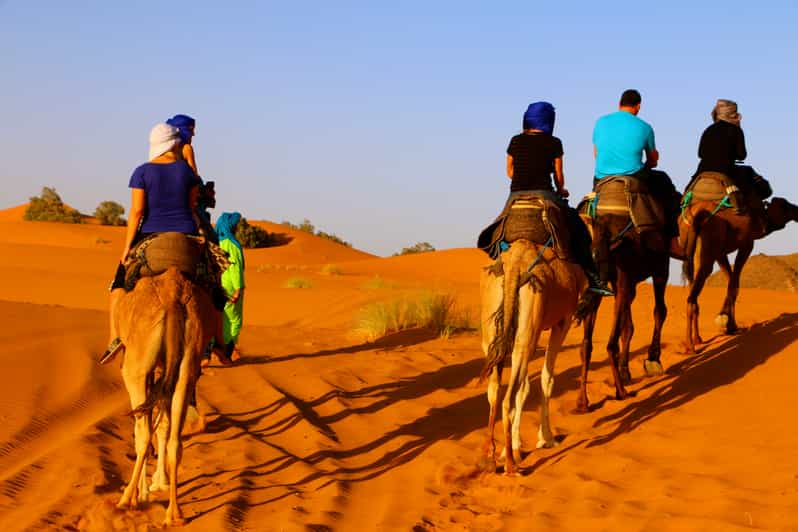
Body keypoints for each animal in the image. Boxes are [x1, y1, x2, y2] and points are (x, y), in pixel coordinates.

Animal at [112, 268, 219, 524]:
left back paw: (126, 499)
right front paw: (159, 483)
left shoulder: (147, 372)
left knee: (143, 434)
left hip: (136, 368)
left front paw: (143, 493)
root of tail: (172, 299)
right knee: (174, 441)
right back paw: (174, 514)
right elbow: (163, 426)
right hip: (187, 365)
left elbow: (147, 429)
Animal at [482, 239, 588, 476]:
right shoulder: (563, 321)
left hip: (494, 329)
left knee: (494, 391)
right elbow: (546, 380)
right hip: (528, 328)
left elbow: (525, 387)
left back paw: (490, 457)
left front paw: (516, 446)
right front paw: (546, 439)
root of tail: (514, 267)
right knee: (508, 397)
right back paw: (510, 466)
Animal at [680, 195, 798, 354]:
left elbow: (731, 283)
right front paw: (730, 325)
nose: (797, 210)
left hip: (691, 251)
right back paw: (690, 346)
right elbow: (734, 285)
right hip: (708, 248)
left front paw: (727, 323)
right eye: (785, 205)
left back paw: (698, 338)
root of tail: (695, 214)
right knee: (692, 297)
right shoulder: (746, 244)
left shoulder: (720, 252)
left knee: (693, 288)